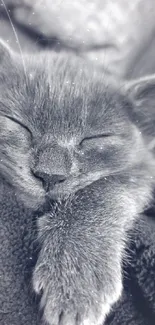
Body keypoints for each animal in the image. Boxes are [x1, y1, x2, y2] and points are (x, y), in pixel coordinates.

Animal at [0, 40, 155, 324]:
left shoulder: (146, 169)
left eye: (94, 138)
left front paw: (76, 278)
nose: (49, 174)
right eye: (19, 123)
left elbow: (105, 187)